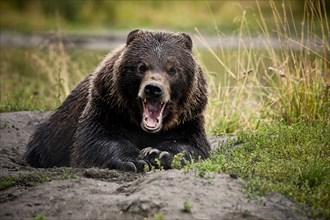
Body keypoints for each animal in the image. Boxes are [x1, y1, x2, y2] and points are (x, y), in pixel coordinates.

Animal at [25, 29, 211, 173]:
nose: (153, 89)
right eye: (141, 66)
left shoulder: (188, 117)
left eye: (172, 69)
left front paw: (159, 153)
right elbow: (97, 140)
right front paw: (135, 160)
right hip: (54, 133)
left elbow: (191, 145)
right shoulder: (107, 106)